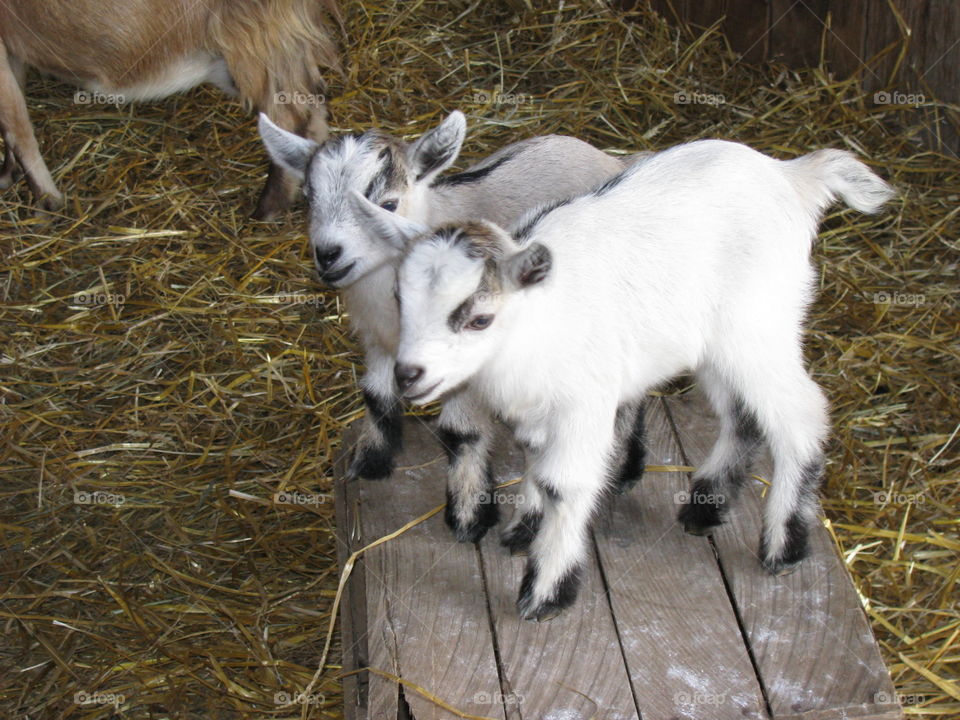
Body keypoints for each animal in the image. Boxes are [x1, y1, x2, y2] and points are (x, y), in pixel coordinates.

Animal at [0, 0, 342, 219]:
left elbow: (15, 123)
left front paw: (47, 204)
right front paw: (8, 174)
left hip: (254, 34)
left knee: (291, 115)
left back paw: (267, 209)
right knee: (312, 105)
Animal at [258, 109, 648, 544]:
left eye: (388, 204)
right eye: (309, 199)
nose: (328, 254)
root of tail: (613, 160)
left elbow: (462, 432)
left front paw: (468, 513)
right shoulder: (379, 341)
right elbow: (375, 396)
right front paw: (372, 459)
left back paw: (623, 466)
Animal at [360, 139, 892, 620]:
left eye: (479, 319)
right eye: (399, 299)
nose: (409, 374)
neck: (538, 317)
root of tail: (792, 175)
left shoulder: (583, 403)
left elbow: (562, 484)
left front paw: (547, 591)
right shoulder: (540, 408)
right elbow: (535, 458)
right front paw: (524, 530)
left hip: (759, 327)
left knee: (800, 413)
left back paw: (783, 545)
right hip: (712, 344)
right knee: (742, 413)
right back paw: (706, 505)